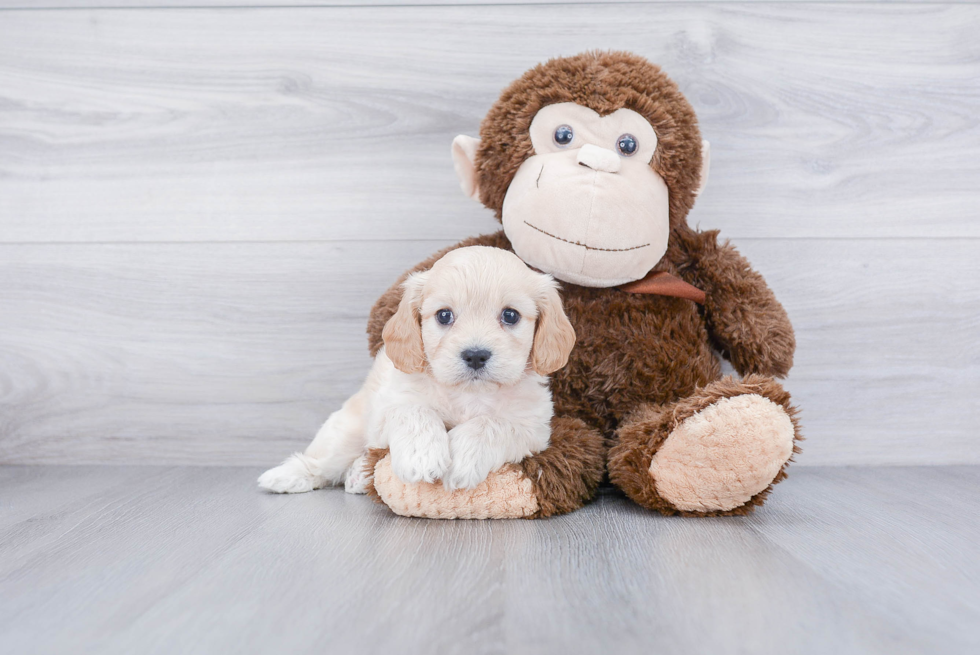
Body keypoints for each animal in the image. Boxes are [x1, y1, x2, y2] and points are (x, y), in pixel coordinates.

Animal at [256, 249, 580, 494]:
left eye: (510, 315)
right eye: (444, 315)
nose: (475, 356)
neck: (469, 393)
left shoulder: (532, 427)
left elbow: (491, 423)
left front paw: (462, 459)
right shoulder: (390, 406)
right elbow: (414, 412)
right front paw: (421, 457)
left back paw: (357, 476)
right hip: (347, 432)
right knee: (325, 461)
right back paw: (287, 476)